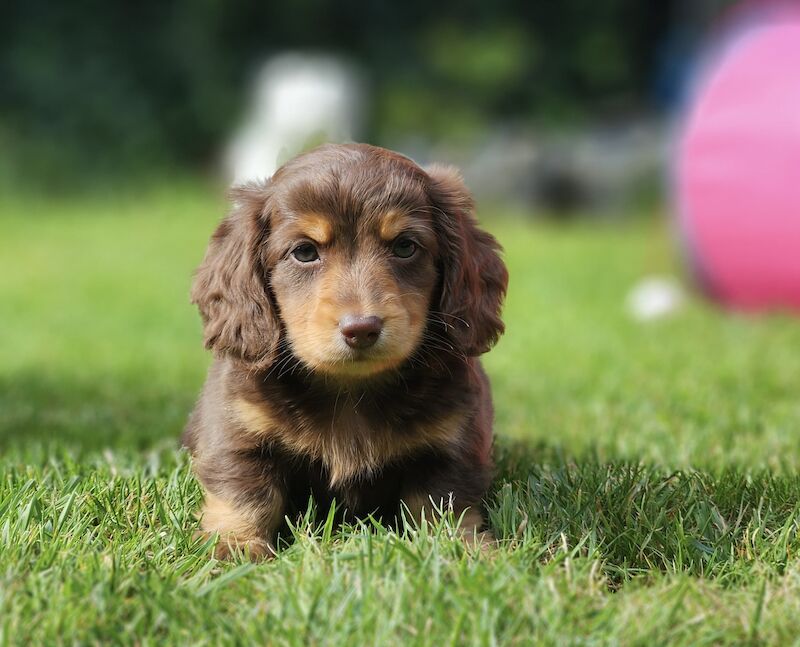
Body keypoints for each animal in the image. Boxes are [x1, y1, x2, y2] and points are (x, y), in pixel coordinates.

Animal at [183, 144, 506, 560]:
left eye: (405, 246)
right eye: (305, 252)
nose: (361, 329)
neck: (349, 389)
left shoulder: (455, 441)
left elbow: (444, 502)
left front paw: (461, 549)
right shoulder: (236, 431)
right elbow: (245, 494)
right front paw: (233, 547)